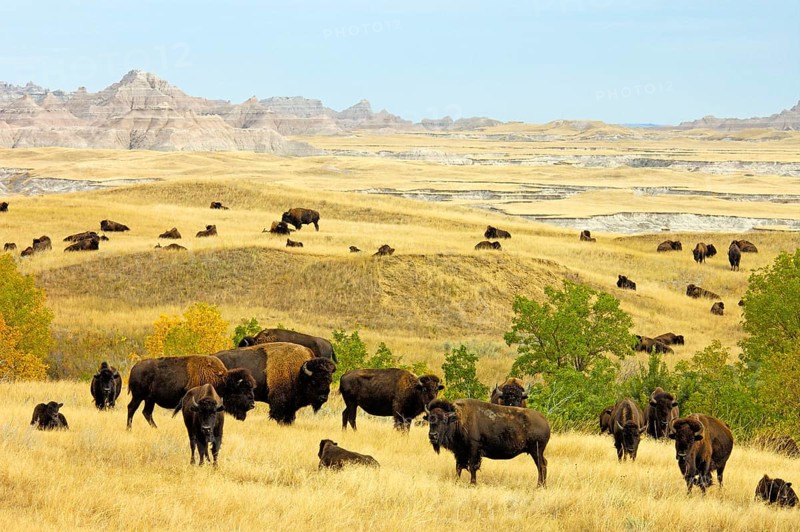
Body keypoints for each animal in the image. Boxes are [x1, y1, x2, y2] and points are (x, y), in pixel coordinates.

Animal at [126, 355, 255, 429]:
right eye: (242, 390)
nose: (252, 404)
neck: (222, 380)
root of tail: (134, 368)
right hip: (138, 396)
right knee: (132, 408)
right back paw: (129, 429)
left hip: (150, 399)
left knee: (146, 412)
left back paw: (156, 428)